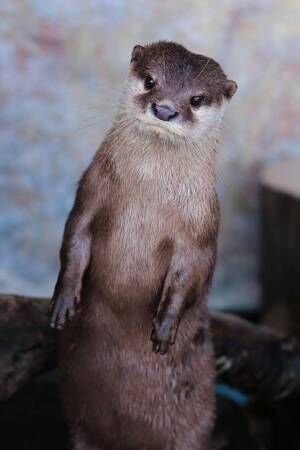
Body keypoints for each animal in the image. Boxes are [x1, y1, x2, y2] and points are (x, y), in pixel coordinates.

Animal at [49, 42, 237, 450]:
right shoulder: (91, 193)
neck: (149, 191)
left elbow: (189, 276)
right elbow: (73, 240)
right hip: (80, 425)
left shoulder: (199, 229)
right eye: (151, 81)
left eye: (196, 99)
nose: (164, 109)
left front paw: (165, 327)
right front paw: (64, 300)